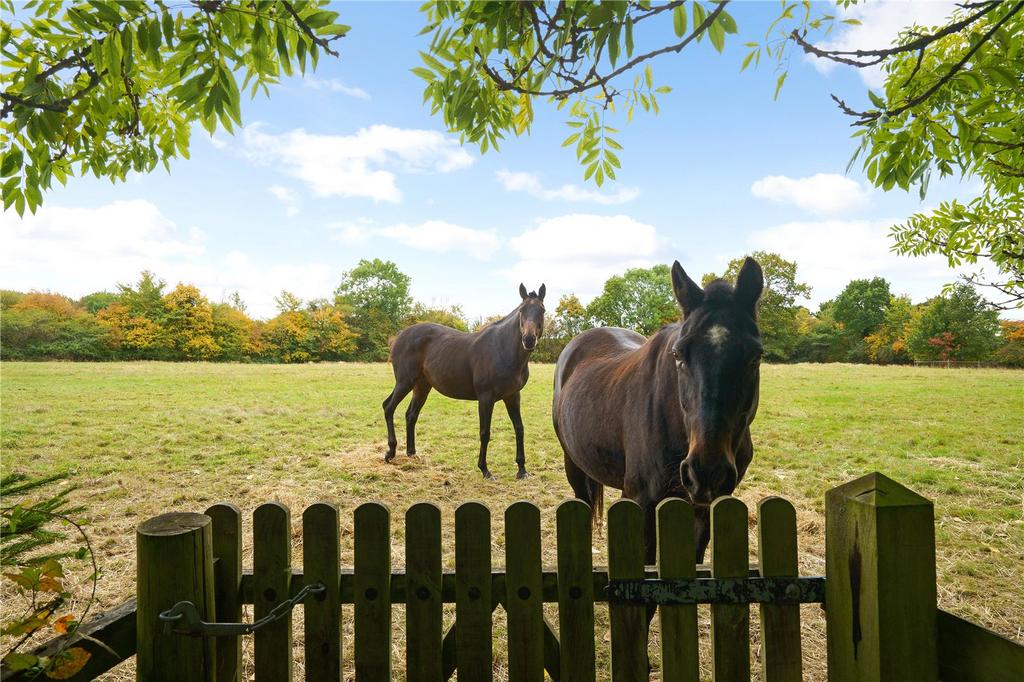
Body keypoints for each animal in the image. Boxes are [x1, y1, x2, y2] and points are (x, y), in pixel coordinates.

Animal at [382, 280, 544, 477]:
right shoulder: (485, 398)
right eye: (521, 310)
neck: (502, 349)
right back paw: (390, 452)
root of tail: (399, 336)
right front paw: (484, 469)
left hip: (422, 386)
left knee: (411, 415)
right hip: (405, 382)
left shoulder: (513, 396)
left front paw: (521, 469)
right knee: (389, 407)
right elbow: (485, 432)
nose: (528, 340)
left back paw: (412, 453)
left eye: (542, 310)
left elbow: (519, 428)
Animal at [552, 258, 761, 561]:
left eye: (756, 356)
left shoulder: (705, 507)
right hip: (575, 467)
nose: (707, 472)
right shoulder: (644, 504)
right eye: (678, 355)